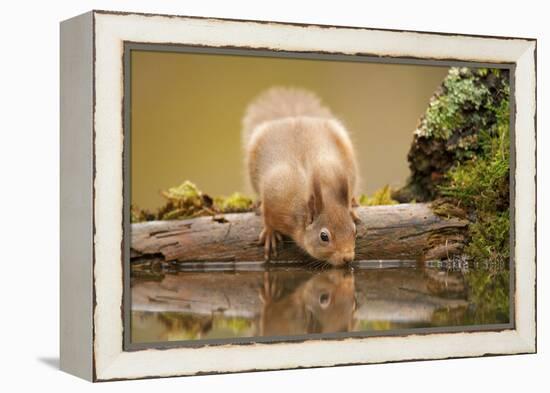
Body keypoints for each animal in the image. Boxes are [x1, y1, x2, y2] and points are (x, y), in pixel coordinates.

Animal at [244, 88, 360, 266]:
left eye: (354, 230)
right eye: (324, 237)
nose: (348, 258)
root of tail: (293, 117)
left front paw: (350, 207)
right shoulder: (275, 194)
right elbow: (268, 216)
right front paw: (270, 232)